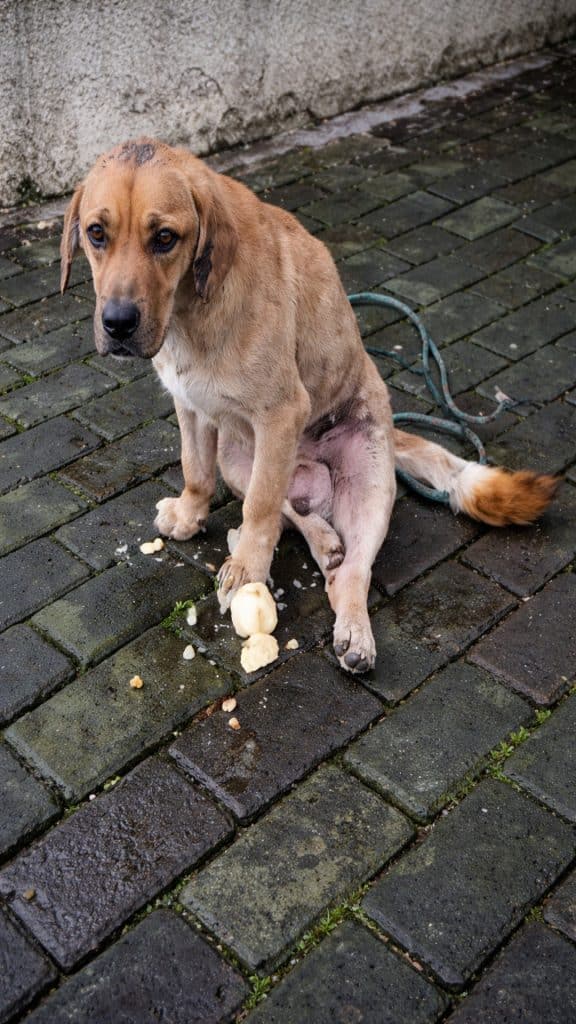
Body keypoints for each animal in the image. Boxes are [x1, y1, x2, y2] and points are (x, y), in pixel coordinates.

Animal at [60, 138, 558, 673]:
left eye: (165, 238)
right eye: (96, 233)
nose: (117, 324)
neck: (189, 312)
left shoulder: (280, 412)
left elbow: (259, 507)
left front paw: (248, 568)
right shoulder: (191, 408)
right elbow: (197, 471)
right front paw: (191, 515)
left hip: (367, 485)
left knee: (348, 571)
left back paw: (354, 630)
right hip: (237, 457)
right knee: (297, 515)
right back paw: (324, 541)